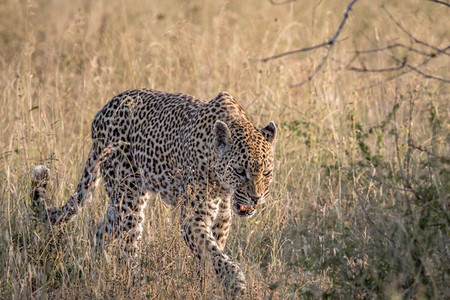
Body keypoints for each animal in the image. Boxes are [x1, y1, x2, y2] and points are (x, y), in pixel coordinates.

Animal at [29, 88, 276, 296]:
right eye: (240, 170)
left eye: (266, 173)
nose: (256, 198)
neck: (222, 185)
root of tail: (102, 111)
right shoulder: (192, 219)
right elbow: (212, 251)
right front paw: (235, 283)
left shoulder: (222, 219)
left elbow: (212, 251)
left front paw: (204, 284)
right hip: (128, 196)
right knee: (129, 244)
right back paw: (134, 283)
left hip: (122, 198)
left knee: (102, 228)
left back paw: (99, 266)